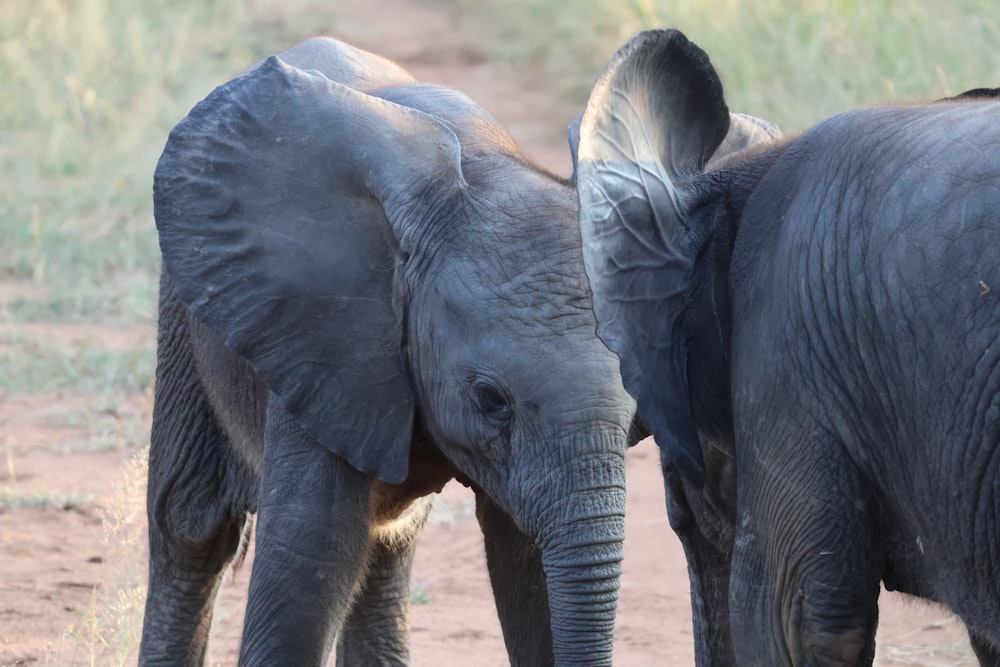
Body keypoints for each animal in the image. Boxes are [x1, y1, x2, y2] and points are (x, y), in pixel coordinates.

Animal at [138, 37, 636, 667]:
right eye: (491, 399)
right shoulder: (326, 343)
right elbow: (308, 561)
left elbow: (530, 570)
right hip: (186, 308)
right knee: (192, 527)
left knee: (385, 548)